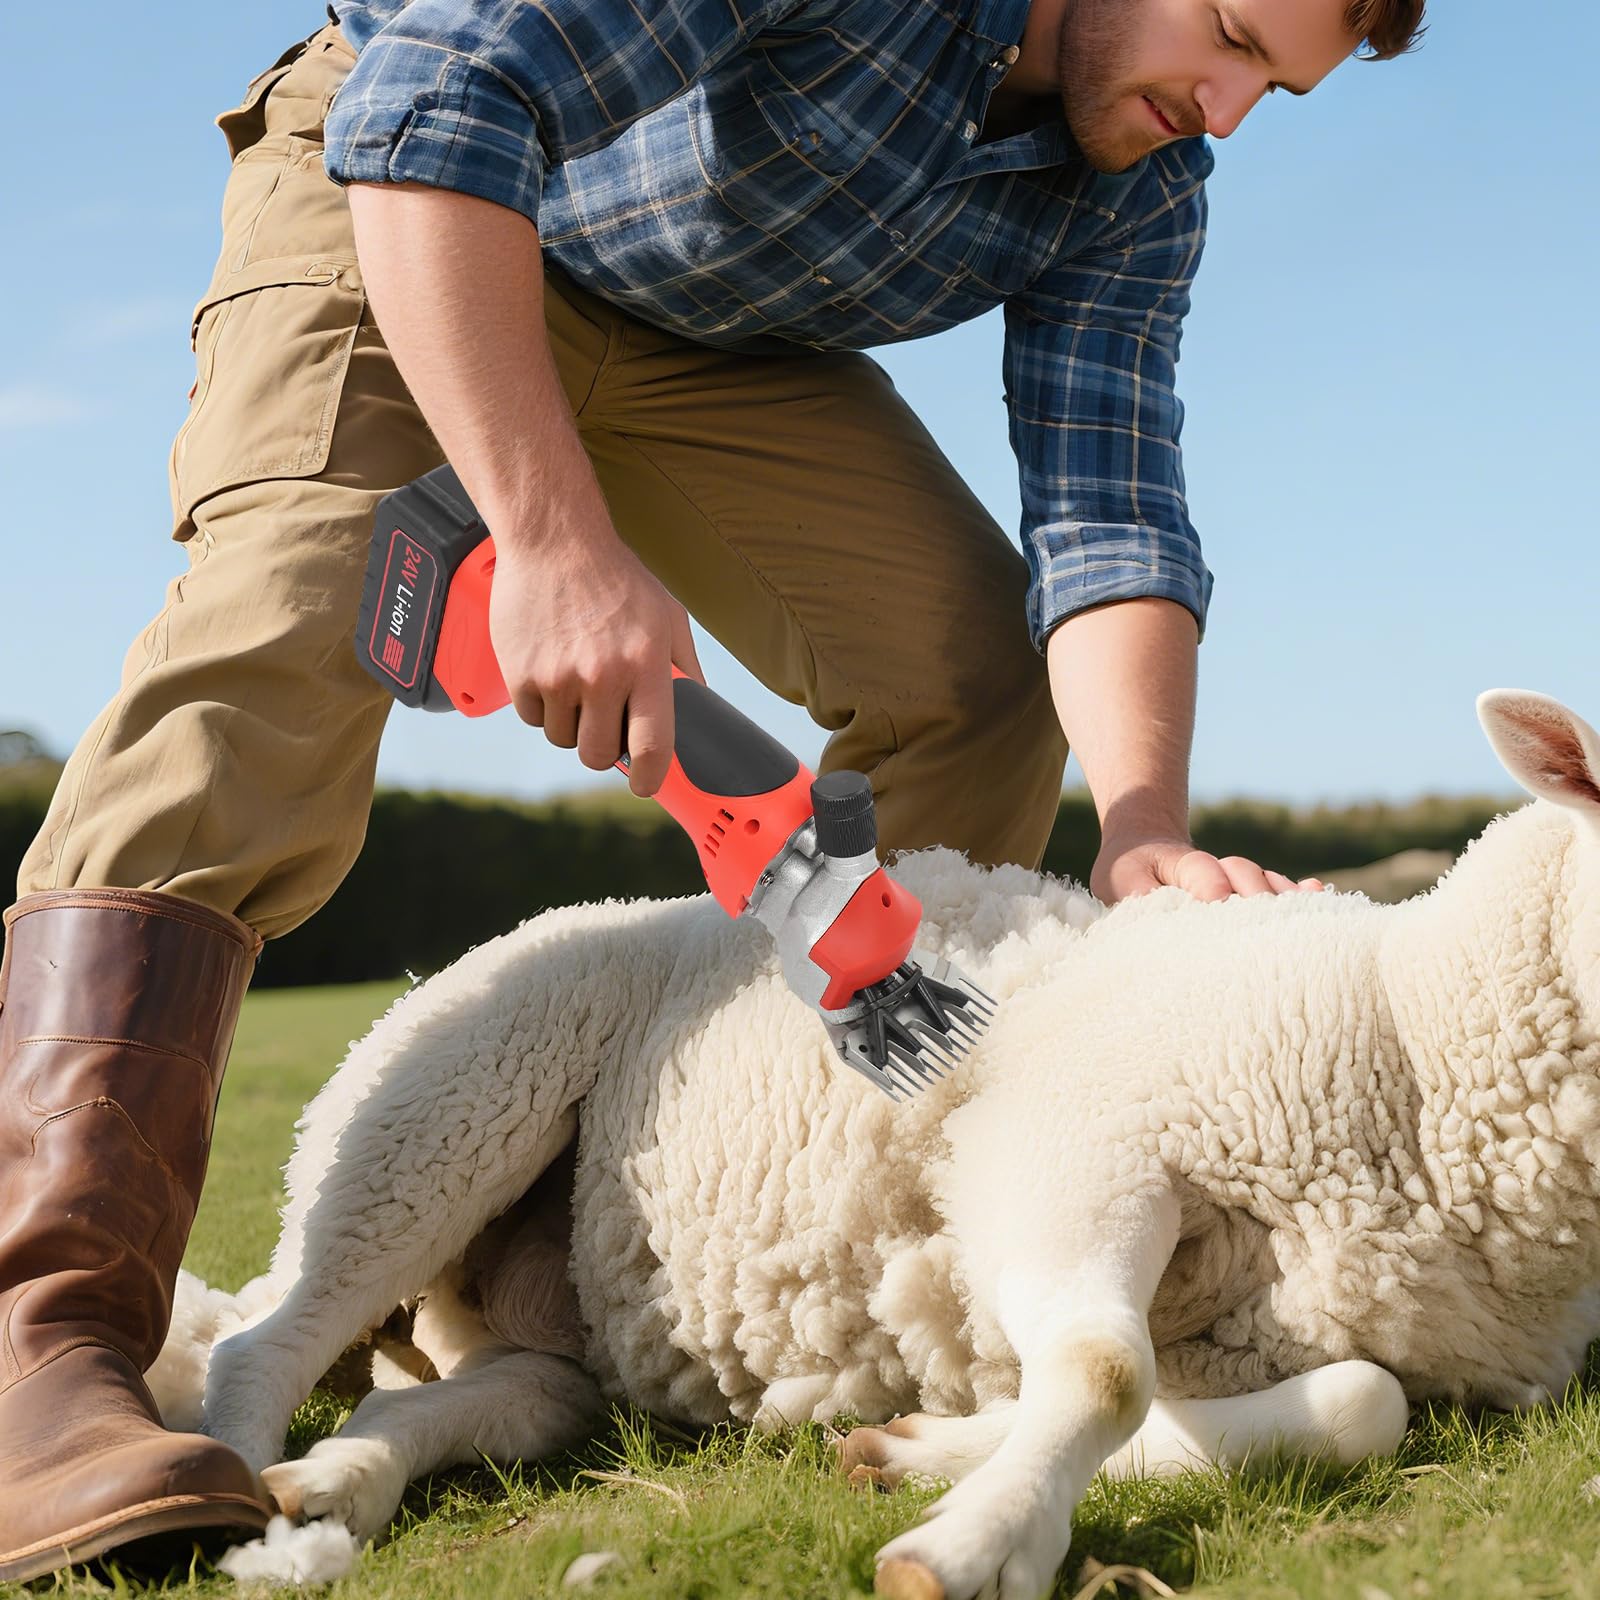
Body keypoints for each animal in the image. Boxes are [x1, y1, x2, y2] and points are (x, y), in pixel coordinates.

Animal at [173, 689, 1600, 1600]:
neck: (1412, 1031)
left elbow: (1361, 1405)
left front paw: (919, 1454)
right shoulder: (1061, 1150)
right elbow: (1105, 1373)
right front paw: (973, 1543)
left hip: (546, 1334)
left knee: (457, 1394)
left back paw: (332, 1483)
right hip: (440, 1100)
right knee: (264, 1341)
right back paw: (235, 1512)